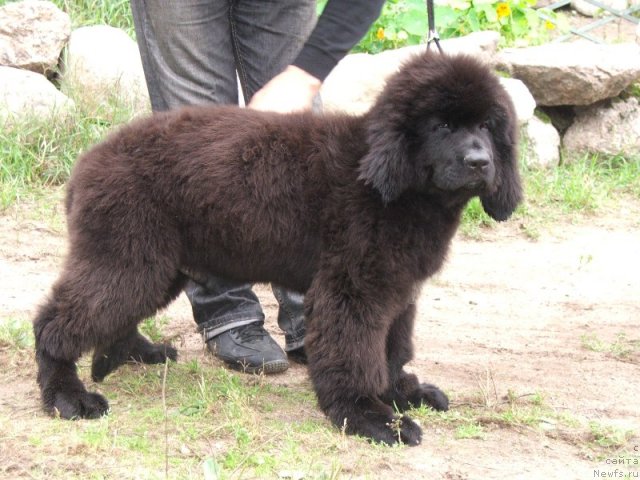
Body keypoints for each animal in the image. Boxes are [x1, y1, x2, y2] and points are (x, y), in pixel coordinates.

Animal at [32, 52, 520, 446]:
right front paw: (369, 417)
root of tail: (87, 164)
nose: (480, 162)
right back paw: (68, 397)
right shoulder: (352, 288)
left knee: (107, 313)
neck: (390, 184)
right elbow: (357, 354)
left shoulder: (398, 290)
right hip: (130, 257)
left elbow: (392, 350)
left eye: (487, 126)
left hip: (153, 263)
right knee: (53, 324)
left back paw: (132, 353)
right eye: (441, 126)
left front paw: (402, 394)